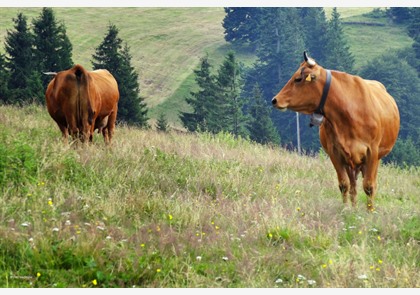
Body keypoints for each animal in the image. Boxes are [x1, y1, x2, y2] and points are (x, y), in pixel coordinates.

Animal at [272, 51, 400, 213]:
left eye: (298, 79)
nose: (275, 100)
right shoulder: (335, 153)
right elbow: (344, 184)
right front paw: (345, 210)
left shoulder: (372, 151)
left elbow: (369, 186)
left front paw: (370, 212)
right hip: (351, 163)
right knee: (353, 187)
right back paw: (354, 207)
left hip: (374, 158)